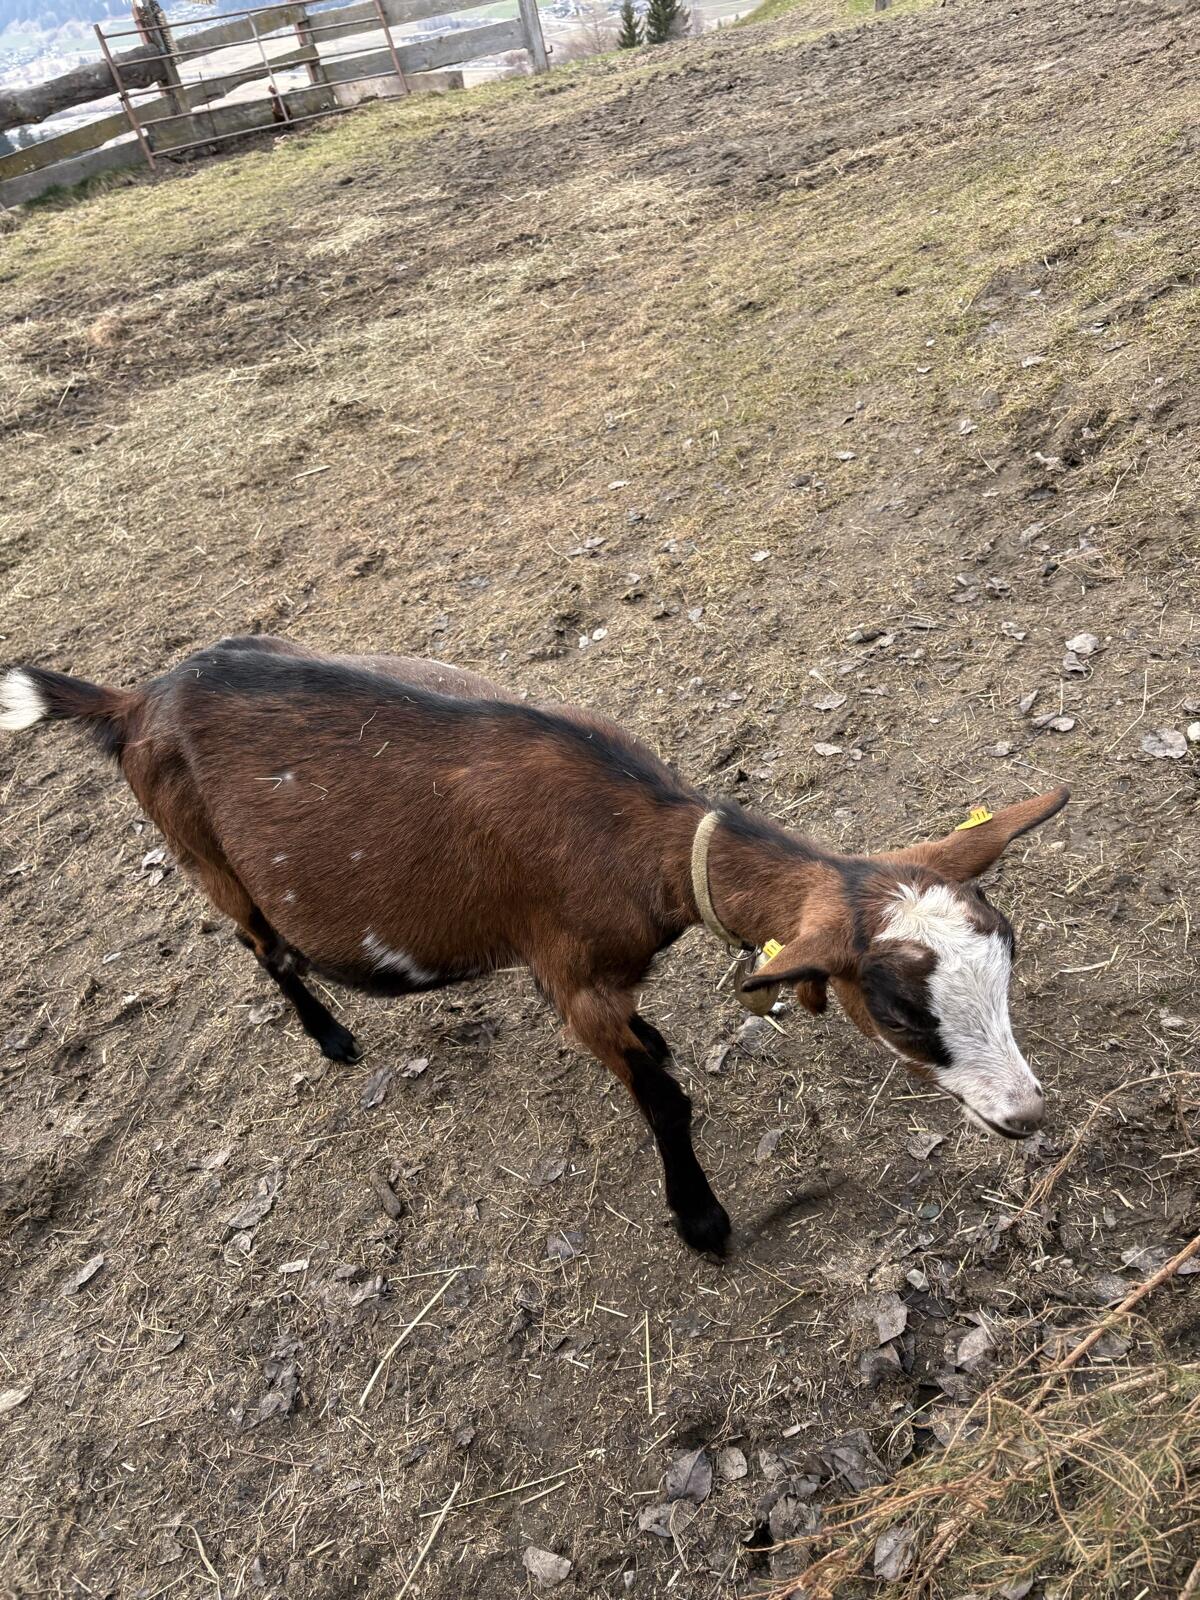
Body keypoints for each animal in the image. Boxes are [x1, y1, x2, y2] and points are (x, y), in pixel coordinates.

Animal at [1, 636, 1069, 1254]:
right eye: (899, 1009)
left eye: (1008, 965)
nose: (1027, 1116)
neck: (647, 843)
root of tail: (134, 701)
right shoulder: (574, 981)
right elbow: (664, 1100)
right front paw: (701, 1221)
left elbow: (654, 1055)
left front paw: (664, 1050)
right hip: (202, 853)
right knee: (263, 947)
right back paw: (332, 1038)